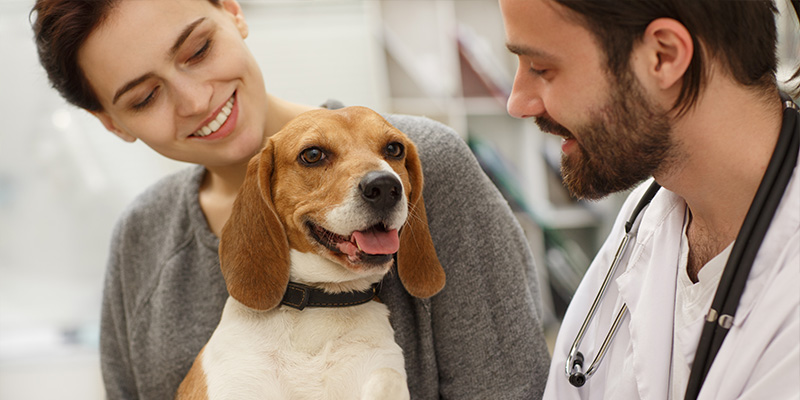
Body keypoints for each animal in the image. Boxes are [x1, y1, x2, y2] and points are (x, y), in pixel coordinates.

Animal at [176, 104, 446, 398]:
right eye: (313, 155)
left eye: (394, 149)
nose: (384, 186)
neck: (321, 302)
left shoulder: (381, 366)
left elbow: (387, 375)